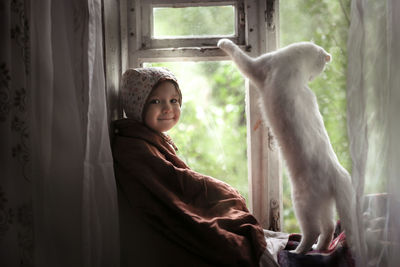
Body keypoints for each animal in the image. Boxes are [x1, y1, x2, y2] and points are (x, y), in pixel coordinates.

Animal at [219, 38, 356, 255]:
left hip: (301, 202)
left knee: (313, 231)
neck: (294, 62)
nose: (311, 79)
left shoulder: (255, 67)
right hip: (325, 205)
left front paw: (223, 43)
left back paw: (297, 251)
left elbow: (237, 54)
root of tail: (337, 172)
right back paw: (318, 249)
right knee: (328, 229)